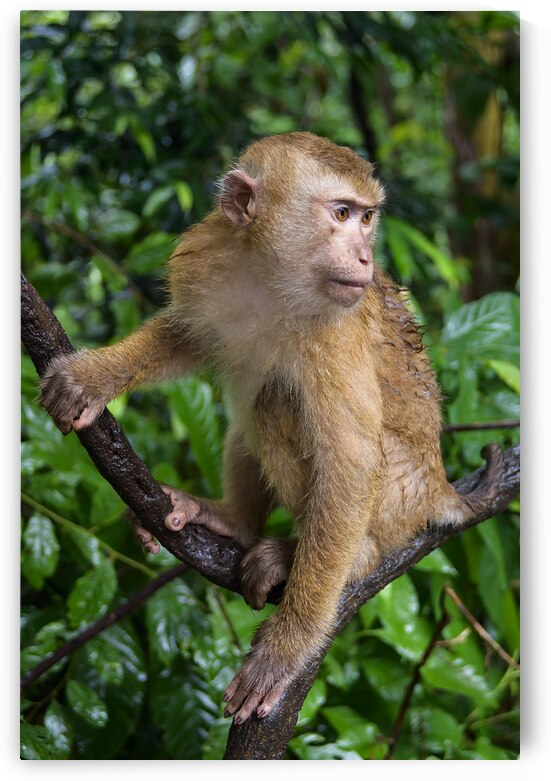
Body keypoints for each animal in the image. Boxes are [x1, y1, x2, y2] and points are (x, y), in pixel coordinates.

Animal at [40, 132, 503, 724]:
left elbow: (351, 463)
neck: (272, 278)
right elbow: (185, 336)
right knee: (249, 415)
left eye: (367, 218)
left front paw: (285, 648)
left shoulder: (336, 330)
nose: (365, 255)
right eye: (342, 214)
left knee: (276, 404)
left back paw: (346, 556)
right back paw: (233, 521)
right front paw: (93, 377)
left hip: (399, 496)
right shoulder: (208, 256)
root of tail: (438, 483)